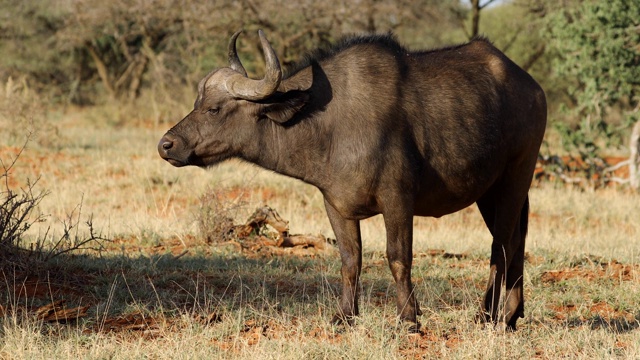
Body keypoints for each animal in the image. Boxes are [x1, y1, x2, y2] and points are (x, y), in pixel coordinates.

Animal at [159, 29, 544, 330]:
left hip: (514, 178)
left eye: (214, 109)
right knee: (516, 242)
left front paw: (408, 317)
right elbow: (350, 259)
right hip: (489, 192)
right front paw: (345, 315)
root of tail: (532, 88)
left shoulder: (397, 200)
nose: (167, 145)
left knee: (501, 246)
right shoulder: (335, 205)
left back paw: (486, 315)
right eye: (197, 103)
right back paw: (511, 315)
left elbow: (397, 257)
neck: (329, 124)